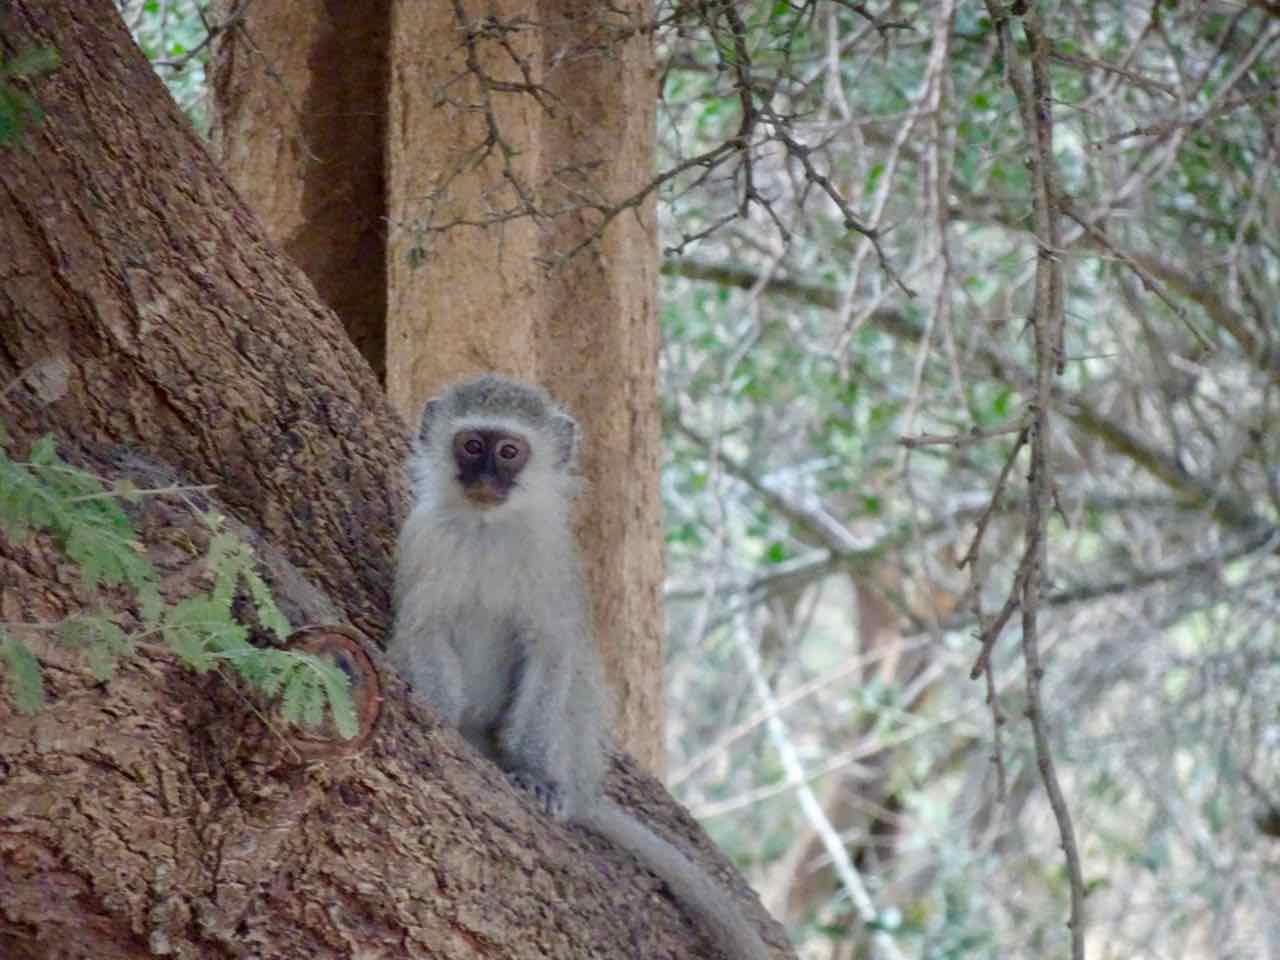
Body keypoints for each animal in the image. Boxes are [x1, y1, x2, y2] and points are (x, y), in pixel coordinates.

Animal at [387, 373, 770, 960]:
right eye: (471, 445)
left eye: (509, 452)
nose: (486, 478)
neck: (487, 527)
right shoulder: (423, 539)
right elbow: (422, 629)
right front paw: (439, 720)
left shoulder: (552, 558)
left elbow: (550, 648)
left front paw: (536, 777)